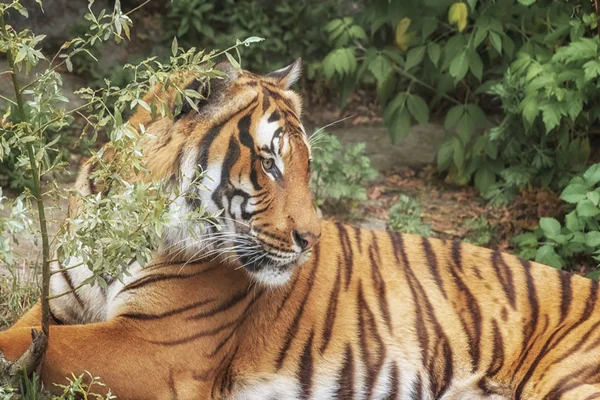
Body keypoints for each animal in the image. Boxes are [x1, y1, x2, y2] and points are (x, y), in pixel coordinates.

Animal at [1, 59, 600, 400]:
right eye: (268, 164)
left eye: (304, 165)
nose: (312, 240)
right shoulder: (58, 308)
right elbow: (19, 329)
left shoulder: (156, 346)